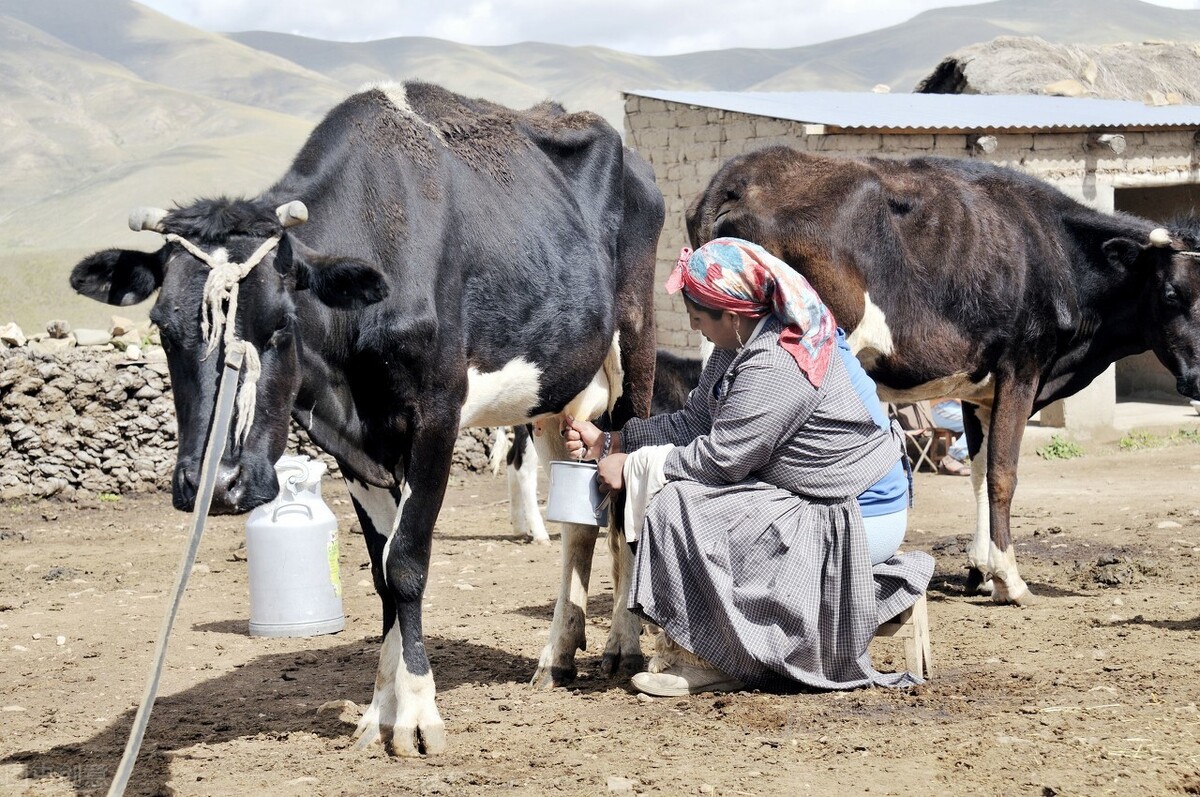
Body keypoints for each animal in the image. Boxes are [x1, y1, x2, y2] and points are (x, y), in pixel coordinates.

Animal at [69, 84, 662, 758]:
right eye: (164, 329)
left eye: (282, 325)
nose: (216, 485)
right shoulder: (355, 447)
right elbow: (379, 575)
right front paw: (380, 711)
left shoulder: (435, 418)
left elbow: (406, 564)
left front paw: (418, 716)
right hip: (553, 393)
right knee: (578, 524)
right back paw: (558, 653)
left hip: (635, 357)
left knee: (624, 502)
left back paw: (623, 645)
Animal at [686, 144, 1200, 604]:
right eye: (1171, 294)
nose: (1196, 380)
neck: (1057, 254)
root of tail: (745, 170)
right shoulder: (1021, 370)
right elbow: (1003, 475)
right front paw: (1009, 580)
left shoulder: (978, 390)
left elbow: (977, 474)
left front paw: (980, 570)